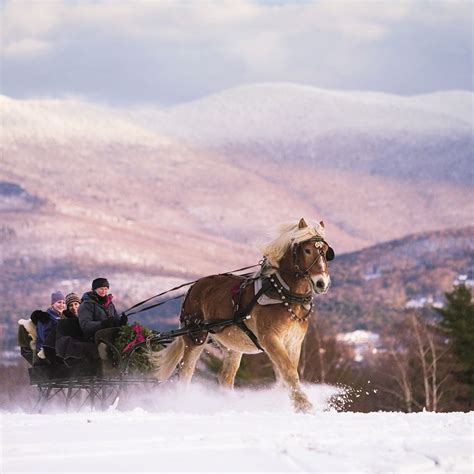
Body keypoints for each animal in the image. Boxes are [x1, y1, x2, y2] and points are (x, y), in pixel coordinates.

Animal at [151, 218, 334, 412]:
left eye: (326, 252)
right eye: (307, 250)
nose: (322, 283)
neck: (283, 295)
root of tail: (193, 288)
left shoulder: (293, 342)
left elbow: (285, 374)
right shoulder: (270, 339)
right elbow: (289, 371)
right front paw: (303, 405)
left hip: (232, 346)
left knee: (225, 377)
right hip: (195, 337)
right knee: (186, 373)